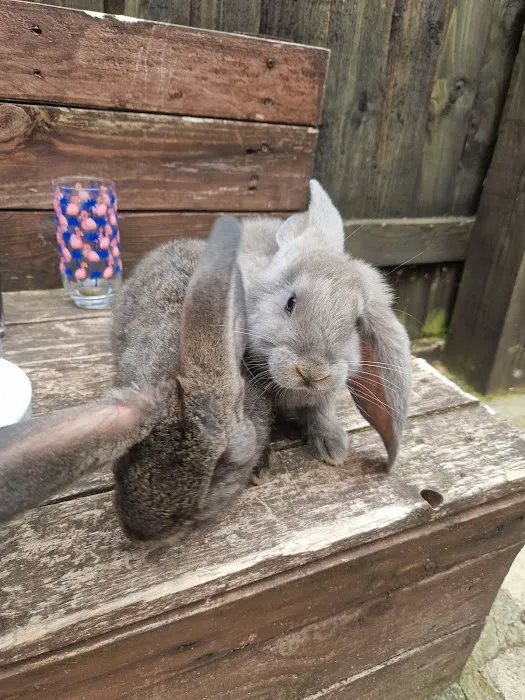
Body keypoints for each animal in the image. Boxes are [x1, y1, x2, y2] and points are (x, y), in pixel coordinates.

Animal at [238, 180, 412, 469]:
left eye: (356, 323)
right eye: (290, 302)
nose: (312, 372)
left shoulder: (325, 396)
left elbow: (321, 411)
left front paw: (333, 448)